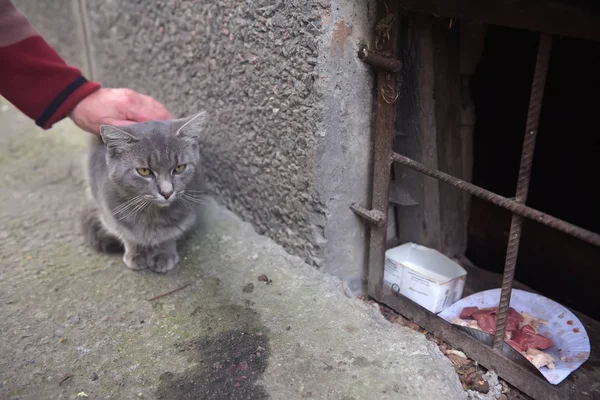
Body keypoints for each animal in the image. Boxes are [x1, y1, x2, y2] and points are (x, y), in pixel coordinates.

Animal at [81, 111, 209, 274]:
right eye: (144, 171)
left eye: (180, 168)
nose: (167, 192)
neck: (152, 213)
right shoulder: (111, 215)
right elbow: (129, 235)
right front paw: (136, 254)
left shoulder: (184, 215)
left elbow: (168, 234)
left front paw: (163, 253)